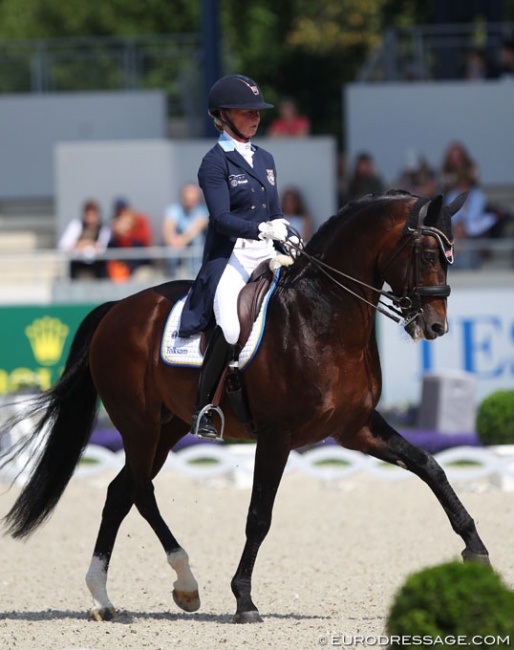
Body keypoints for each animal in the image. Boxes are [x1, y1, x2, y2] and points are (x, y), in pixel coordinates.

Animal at [0, 189, 488, 624]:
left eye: (450, 256)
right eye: (427, 253)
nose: (436, 326)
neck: (322, 315)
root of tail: (118, 307)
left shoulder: (356, 428)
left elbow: (430, 466)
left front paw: (476, 550)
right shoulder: (277, 435)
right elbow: (259, 516)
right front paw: (244, 601)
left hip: (167, 428)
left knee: (120, 492)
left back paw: (104, 598)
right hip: (138, 424)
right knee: (140, 491)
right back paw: (186, 584)